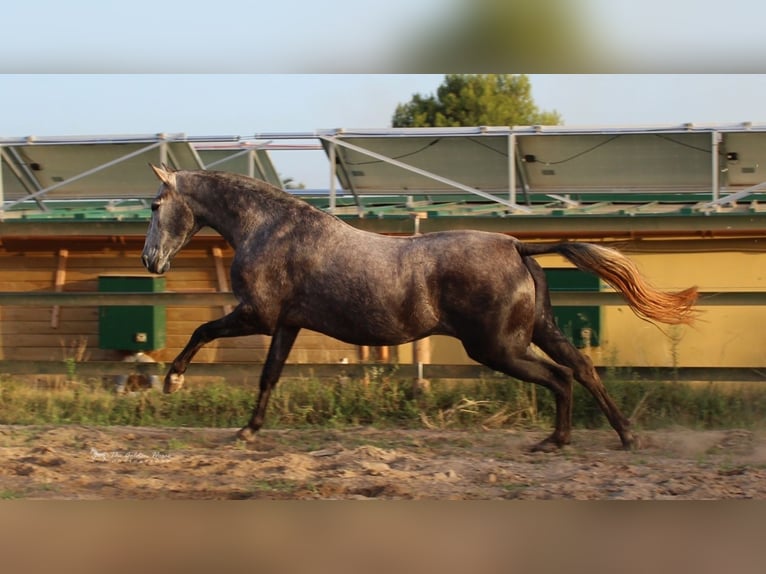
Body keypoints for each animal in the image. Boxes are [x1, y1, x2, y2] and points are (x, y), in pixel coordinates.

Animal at [141, 164, 698, 451]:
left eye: (154, 205)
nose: (150, 260)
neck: (269, 228)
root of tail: (517, 247)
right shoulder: (286, 324)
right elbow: (269, 375)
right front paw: (248, 430)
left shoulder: (257, 314)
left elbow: (202, 331)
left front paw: (173, 382)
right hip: (535, 331)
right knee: (581, 366)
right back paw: (622, 436)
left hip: (497, 347)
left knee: (560, 375)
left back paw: (556, 440)